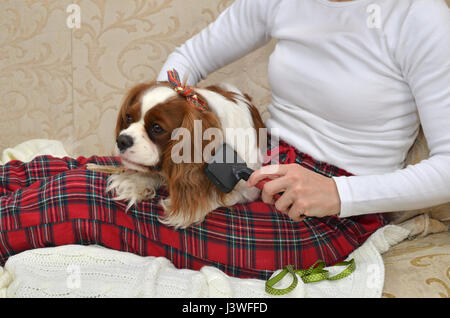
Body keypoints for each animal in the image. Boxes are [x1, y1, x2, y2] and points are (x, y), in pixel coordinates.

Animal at [104, 72, 268, 229]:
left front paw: (190, 208)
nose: (122, 140)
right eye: (128, 117)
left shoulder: (249, 189)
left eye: (157, 128)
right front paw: (135, 181)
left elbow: (223, 196)